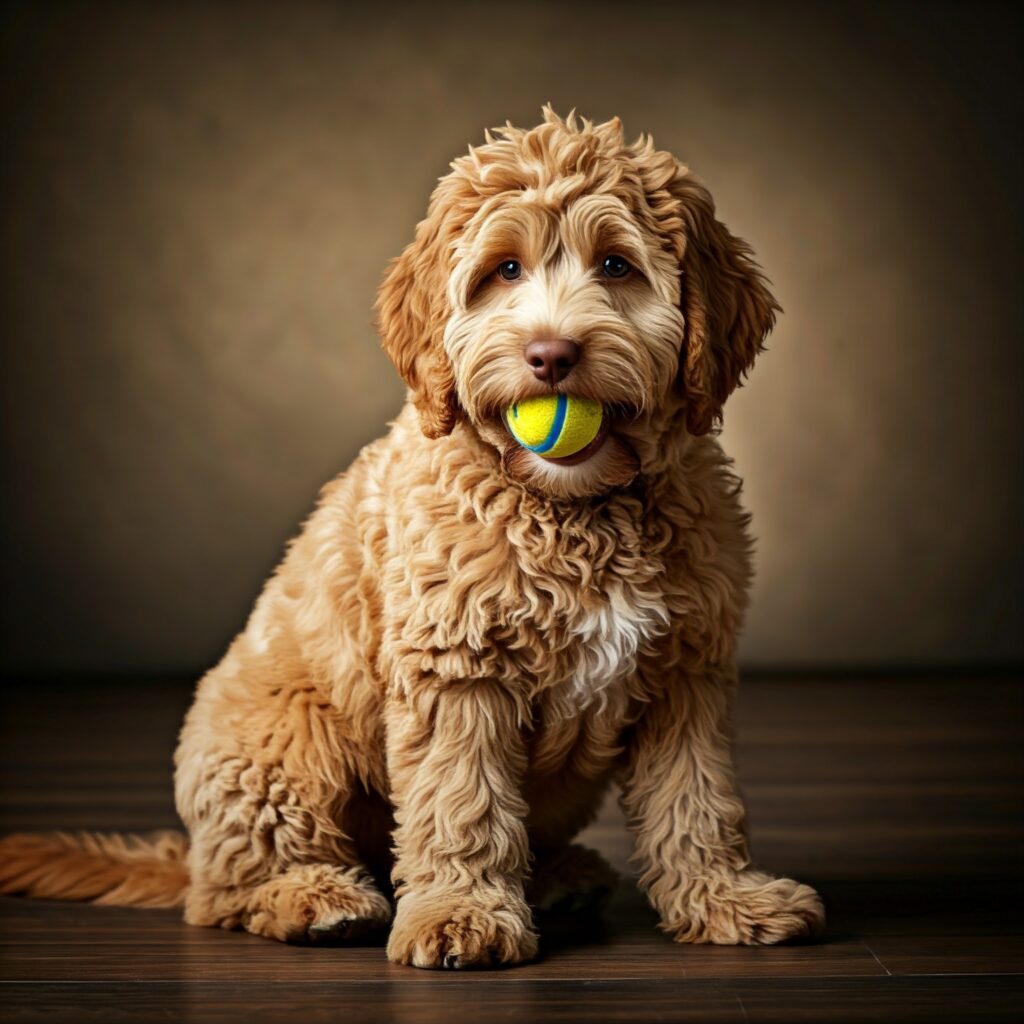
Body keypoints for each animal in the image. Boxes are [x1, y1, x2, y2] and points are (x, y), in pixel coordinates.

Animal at [0, 110, 823, 966]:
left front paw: (727, 899)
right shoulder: (458, 667)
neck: (576, 509)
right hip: (282, 747)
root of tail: (191, 853)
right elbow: (462, 801)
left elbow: (698, 799)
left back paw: (563, 875)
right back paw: (315, 898)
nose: (551, 355)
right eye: (503, 271)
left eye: (617, 265)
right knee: (229, 890)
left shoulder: (686, 674)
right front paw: (461, 914)